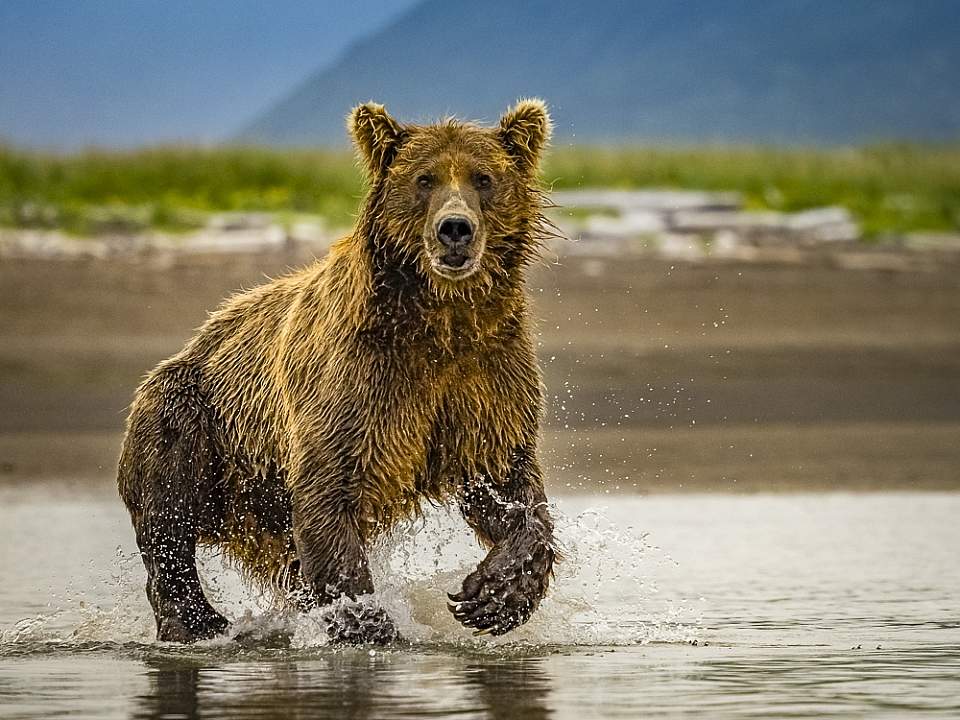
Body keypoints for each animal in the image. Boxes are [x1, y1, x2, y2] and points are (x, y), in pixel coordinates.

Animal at [117, 98, 560, 644]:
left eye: (483, 178)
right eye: (425, 179)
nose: (455, 228)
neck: (440, 322)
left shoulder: (487, 381)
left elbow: (507, 487)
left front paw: (494, 595)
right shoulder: (357, 383)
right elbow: (330, 494)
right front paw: (372, 626)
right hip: (193, 416)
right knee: (168, 517)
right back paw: (198, 622)